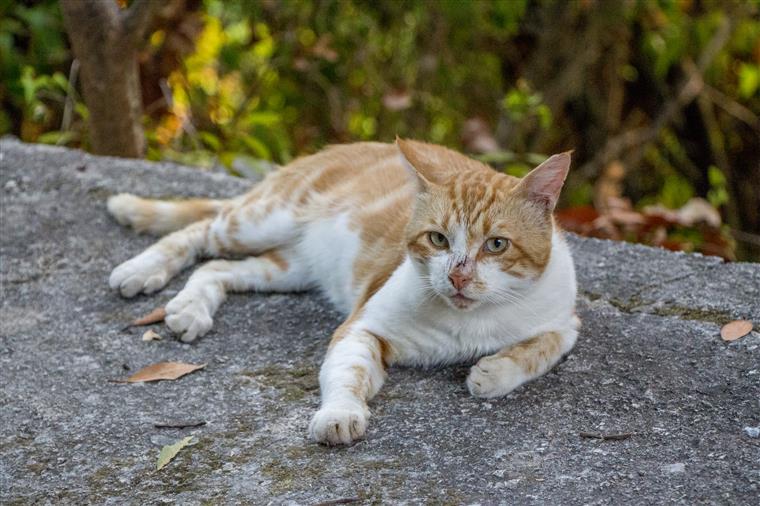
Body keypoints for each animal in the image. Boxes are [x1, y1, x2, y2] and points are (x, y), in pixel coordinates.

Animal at [107, 138, 580, 442]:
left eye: (496, 245)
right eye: (438, 240)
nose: (458, 277)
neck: (470, 321)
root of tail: (342, 146)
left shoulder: (566, 322)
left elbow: (541, 348)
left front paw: (493, 373)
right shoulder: (361, 327)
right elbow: (347, 373)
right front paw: (339, 414)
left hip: (288, 268)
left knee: (217, 268)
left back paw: (191, 307)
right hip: (260, 220)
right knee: (199, 231)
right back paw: (142, 269)